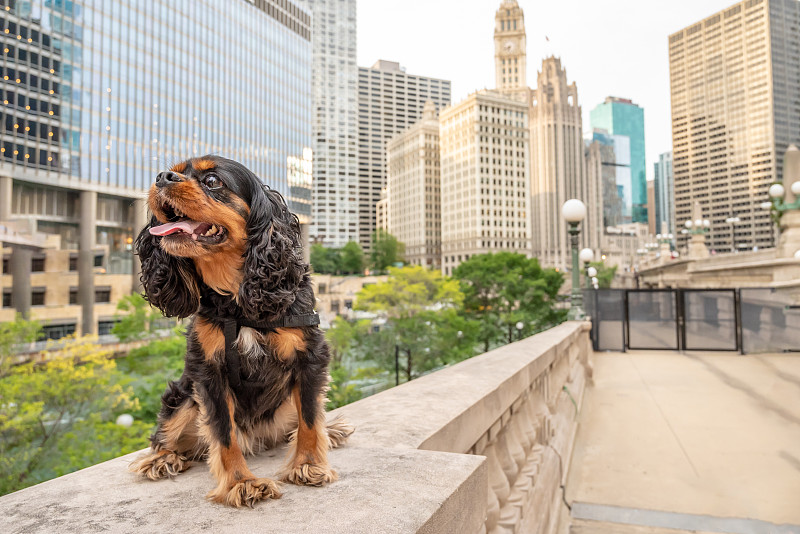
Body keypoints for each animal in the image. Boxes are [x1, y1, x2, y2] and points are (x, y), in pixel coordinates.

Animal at [129, 157, 354, 508]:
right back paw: (162, 458)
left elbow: (309, 417)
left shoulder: (310, 357)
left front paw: (307, 464)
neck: (237, 298)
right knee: (169, 433)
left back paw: (329, 432)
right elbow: (223, 433)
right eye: (174, 170)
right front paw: (241, 482)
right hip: (183, 394)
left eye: (212, 180)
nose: (161, 177)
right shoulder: (208, 371)